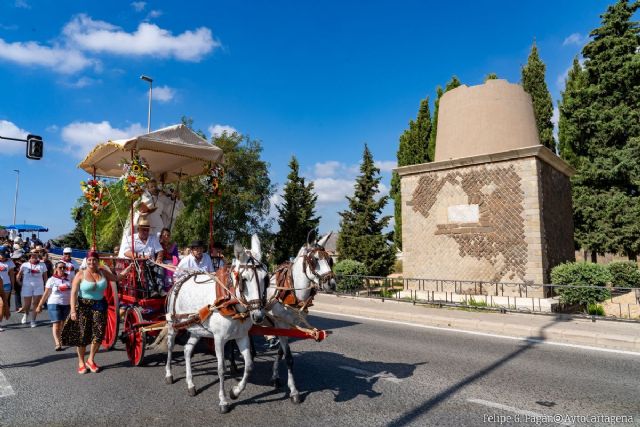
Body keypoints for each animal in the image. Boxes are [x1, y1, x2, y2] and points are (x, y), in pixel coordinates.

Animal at [165, 236, 268, 412]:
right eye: (244, 279)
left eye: (265, 279)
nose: (258, 316)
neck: (230, 302)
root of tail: (179, 281)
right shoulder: (219, 339)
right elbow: (221, 369)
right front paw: (223, 401)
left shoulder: (242, 336)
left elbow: (249, 365)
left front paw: (235, 392)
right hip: (173, 324)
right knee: (171, 346)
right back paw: (169, 374)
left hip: (196, 328)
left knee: (187, 350)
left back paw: (191, 384)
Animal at [264, 234, 338, 404]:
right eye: (314, 260)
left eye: (330, 260)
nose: (331, 284)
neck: (290, 292)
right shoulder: (281, 323)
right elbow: (289, 358)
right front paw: (294, 391)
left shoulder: (291, 325)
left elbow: (281, 353)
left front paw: (275, 377)